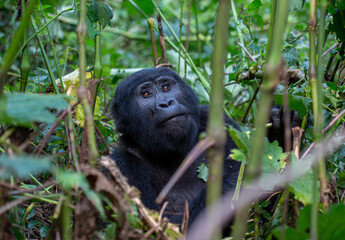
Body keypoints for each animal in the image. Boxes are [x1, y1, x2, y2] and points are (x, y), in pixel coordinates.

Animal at [110, 68, 253, 225]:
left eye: (166, 87)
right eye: (146, 94)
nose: (166, 103)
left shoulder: (220, 123)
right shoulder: (121, 165)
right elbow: (158, 225)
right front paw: (234, 181)